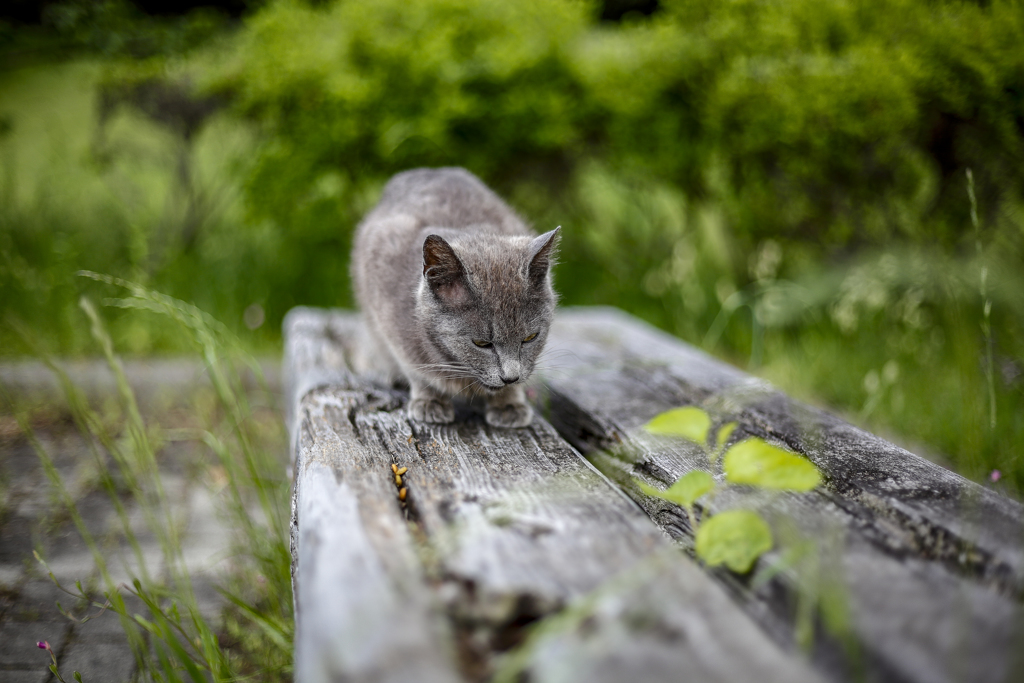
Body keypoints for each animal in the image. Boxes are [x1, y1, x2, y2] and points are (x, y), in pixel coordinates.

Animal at [352, 165, 561, 428]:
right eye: (481, 343)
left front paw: (509, 403)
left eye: (531, 337)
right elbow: (416, 368)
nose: (510, 377)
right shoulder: (388, 313)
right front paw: (430, 400)